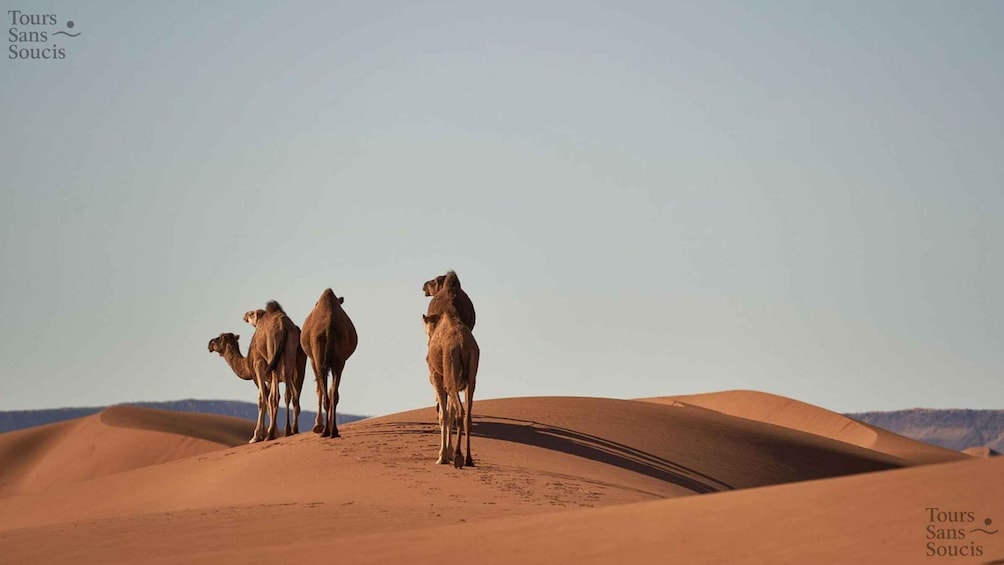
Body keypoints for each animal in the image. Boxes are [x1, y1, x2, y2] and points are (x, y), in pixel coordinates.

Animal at [243, 301, 307, 436]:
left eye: (251, 314)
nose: (245, 315)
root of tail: (284, 327)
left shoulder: (259, 363)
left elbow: (263, 398)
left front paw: (257, 435)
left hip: (273, 352)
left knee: (275, 396)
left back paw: (272, 433)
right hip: (290, 355)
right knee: (289, 394)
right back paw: (289, 430)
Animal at [300, 289, 358, 438]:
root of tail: (328, 329)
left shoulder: (313, 360)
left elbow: (320, 390)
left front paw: (317, 425)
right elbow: (330, 390)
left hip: (320, 357)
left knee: (326, 393)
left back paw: (326, 430)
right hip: (338, 361)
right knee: (333, 394)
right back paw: (333, 431)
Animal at [423, 305, 479, 468]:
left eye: (427, 332)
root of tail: (462, 345)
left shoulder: (437, 377)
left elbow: (444, 415)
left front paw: (442, 457)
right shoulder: (457, 383)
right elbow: (449, 413)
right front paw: (448, 452)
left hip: (449, 371)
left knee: (460, 412)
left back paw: (459, 457)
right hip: (471, 377)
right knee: (467, 416)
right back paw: (468, 459)